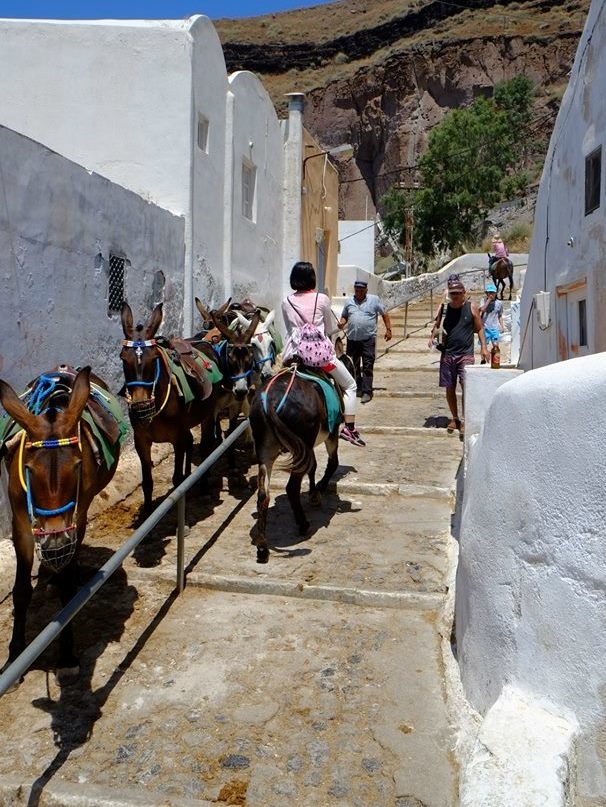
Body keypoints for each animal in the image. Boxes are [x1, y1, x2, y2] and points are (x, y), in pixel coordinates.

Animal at [0, 366, 126, 682]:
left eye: (79, 466)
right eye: (29, 469)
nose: (55, 544)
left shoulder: (76, 520)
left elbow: (68, 593)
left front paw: (67, 656)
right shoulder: (21, 526)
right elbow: (21, 591)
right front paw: (15, 656)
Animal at [120, 301, 218, 514]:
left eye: (153, 359)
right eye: (123, 358)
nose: (141, 407)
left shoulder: (176, 439)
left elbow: (176, 479)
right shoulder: (141, 441)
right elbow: (147, 482)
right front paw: (148, 512)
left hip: (207, 416)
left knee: (206, 449)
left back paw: (203, 489)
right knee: (191, 442)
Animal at [249, 342, 352, 564]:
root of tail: (271, 399)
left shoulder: (307, 447)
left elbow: (313, 467)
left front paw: (314, 492)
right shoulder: (330, 434)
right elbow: (332, 463)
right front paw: (318, 490)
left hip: (266, 451)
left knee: (263, 495)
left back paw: (262, 547)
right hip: (299, 443)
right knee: (291, 488)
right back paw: (303, 524)